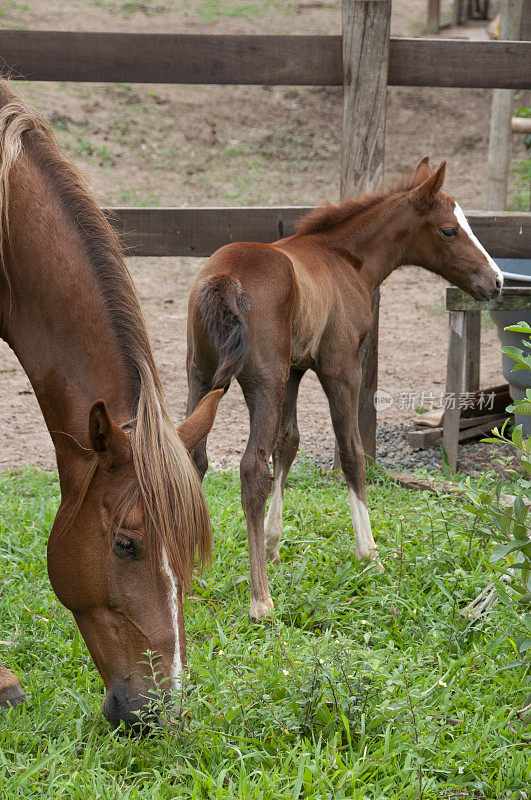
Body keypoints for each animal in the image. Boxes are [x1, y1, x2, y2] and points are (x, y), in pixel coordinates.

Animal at [189, 158, 504, 620]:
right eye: (449, 230)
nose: (496, 281)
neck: (344, 260)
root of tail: (226, 279)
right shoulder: (341, 368)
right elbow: (353, 452)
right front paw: (369, 551)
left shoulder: (295, 370)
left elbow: (288, 442)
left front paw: (274, 544)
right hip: (263, 383)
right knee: (250, 469)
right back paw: (260, 599)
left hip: (201, 376)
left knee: (191, 457)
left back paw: (188, 575)